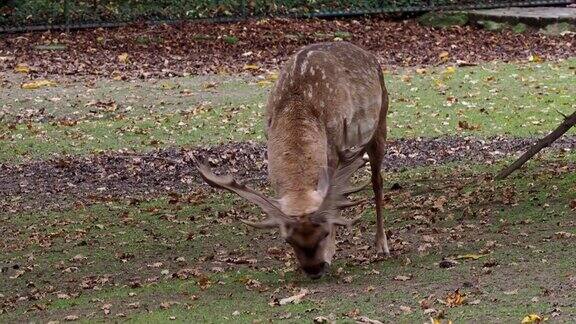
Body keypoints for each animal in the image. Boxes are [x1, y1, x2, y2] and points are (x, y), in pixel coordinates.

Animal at [196, 41, 390, 278]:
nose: (314, 269)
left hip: (381, 120)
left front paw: (332, 252)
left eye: (325, 233)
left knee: (377, 181)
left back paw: (382, 245)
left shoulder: (335, 146)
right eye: (288, 241)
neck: (299, 100)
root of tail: (370, 56)